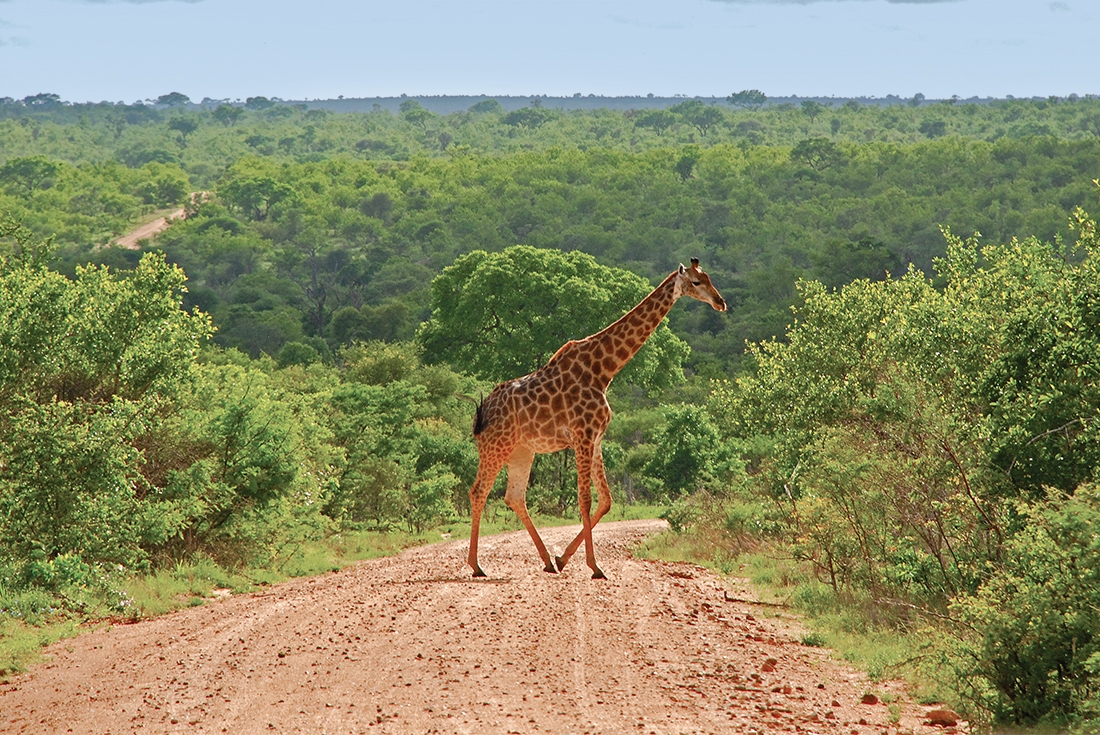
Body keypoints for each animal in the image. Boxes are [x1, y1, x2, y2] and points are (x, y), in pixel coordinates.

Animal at [468, 258, 726, 580]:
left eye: (710, 278)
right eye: (696, 282)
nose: (720, 302)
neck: (603, 371)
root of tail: (483, 410)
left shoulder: (597, 437)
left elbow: (606, 500)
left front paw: (564, 558)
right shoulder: (583, 435)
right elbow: (585, 499)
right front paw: (594, 566)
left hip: (522, 450)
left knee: (514, 497)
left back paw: (547, 561)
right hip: (495, 446)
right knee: (478, 492)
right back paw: (476, 565)